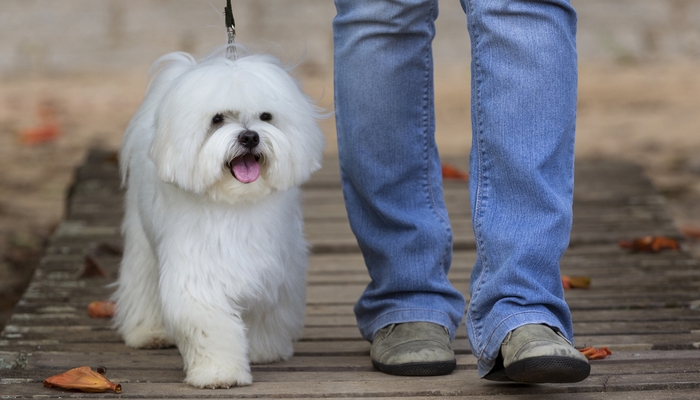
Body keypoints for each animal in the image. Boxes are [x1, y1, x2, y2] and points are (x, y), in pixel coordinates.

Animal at [111, 48, 326, 390]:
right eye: (217, 119)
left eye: (266, 116)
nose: (250, 137)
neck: (235, 203)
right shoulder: (199, 273)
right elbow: (209, 324)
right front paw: (219, 372)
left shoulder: (276, 270)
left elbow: (267, 313)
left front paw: (264, 351)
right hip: (142, 241)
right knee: (141, 281)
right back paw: (148, 332)